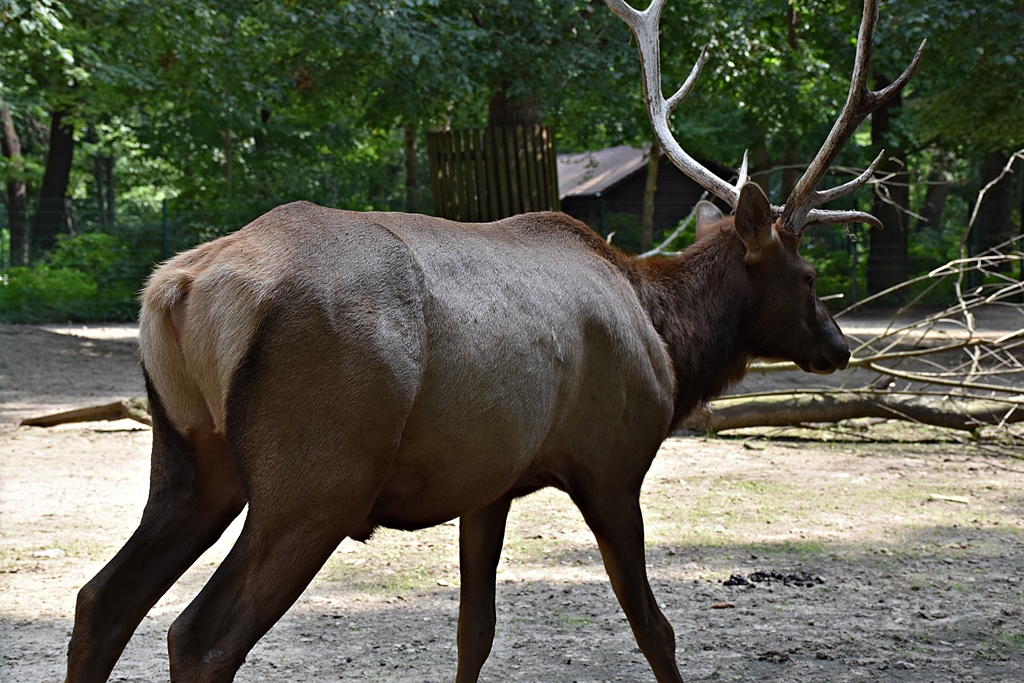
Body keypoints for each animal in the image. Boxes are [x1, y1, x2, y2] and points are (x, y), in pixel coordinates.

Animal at [65, 1, 923, 681]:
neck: (671, 343)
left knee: (99, 600)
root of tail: (176, 288)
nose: (839, 345)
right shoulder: (612, 462)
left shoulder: (489, 481)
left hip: (191, 460)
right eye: (807, 274)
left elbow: (473, 630)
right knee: (199, 634)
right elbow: (655, 627)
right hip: (315, 474)